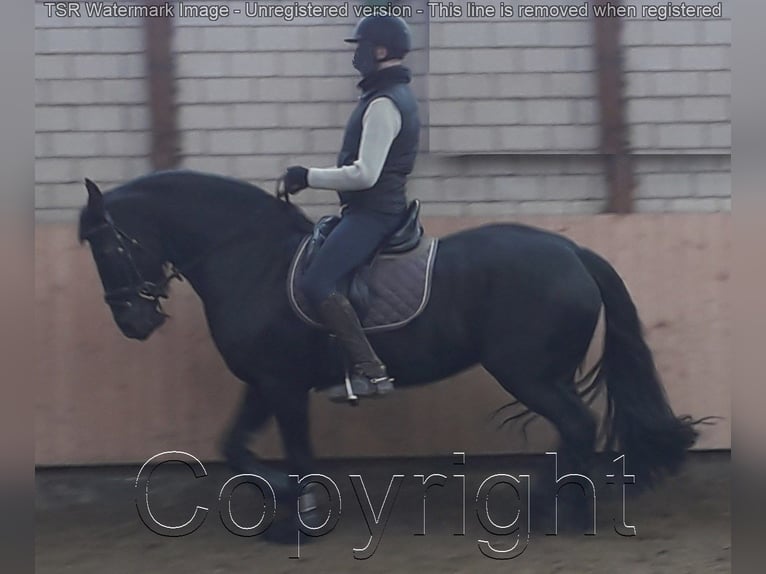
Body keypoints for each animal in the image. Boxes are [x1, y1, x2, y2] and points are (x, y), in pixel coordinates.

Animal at [78, 171, 708, 532]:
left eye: (106, 245)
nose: (133, 322)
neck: (250, 258)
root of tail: (573, 251)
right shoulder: (264, 381)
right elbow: (233, 446)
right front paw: (287, 502)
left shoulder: (282, 384)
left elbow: (295, 453)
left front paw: (303, 514)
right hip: (545, 372)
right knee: (578, 428)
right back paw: (567, 509)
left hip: (529, 373)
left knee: (577, 425)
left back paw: (550, 514)